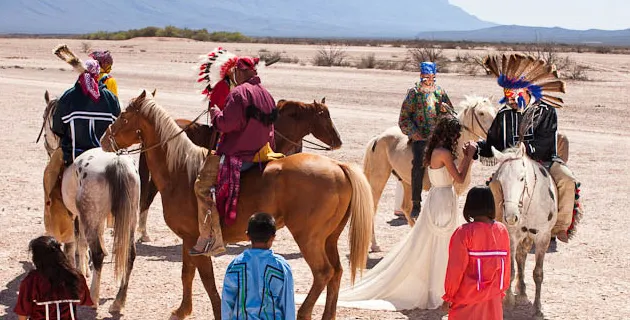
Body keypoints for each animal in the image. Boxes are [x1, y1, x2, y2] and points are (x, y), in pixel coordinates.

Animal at [39, 90, 141, 312]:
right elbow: (83, 242)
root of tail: (116, 161)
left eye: (45, 118)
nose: (46, 145)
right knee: (129, 255)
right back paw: (118, 302)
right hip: (128, 217)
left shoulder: (75, 215)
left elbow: (74, 244)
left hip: (90, 214)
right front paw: (83, 269)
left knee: (99, 253)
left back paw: (93, 297)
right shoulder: (92, 218)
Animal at [366, 96, 498, 251]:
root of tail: (377, 138)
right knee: (373, 207)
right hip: (379, 179)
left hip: (406, 182)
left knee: (406, 208)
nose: (494, 135)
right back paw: (375, 245)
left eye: (494, 111)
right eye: (481, 113)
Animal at [494, 144, 564, 318]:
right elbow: (511, 269)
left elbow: (538, 273)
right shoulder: (512, 235)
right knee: (520, 257)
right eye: (500, 180)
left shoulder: (543, 238)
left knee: (522, 256)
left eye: (521, 178)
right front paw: (508, 300)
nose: (511, 217)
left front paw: (537, 309)